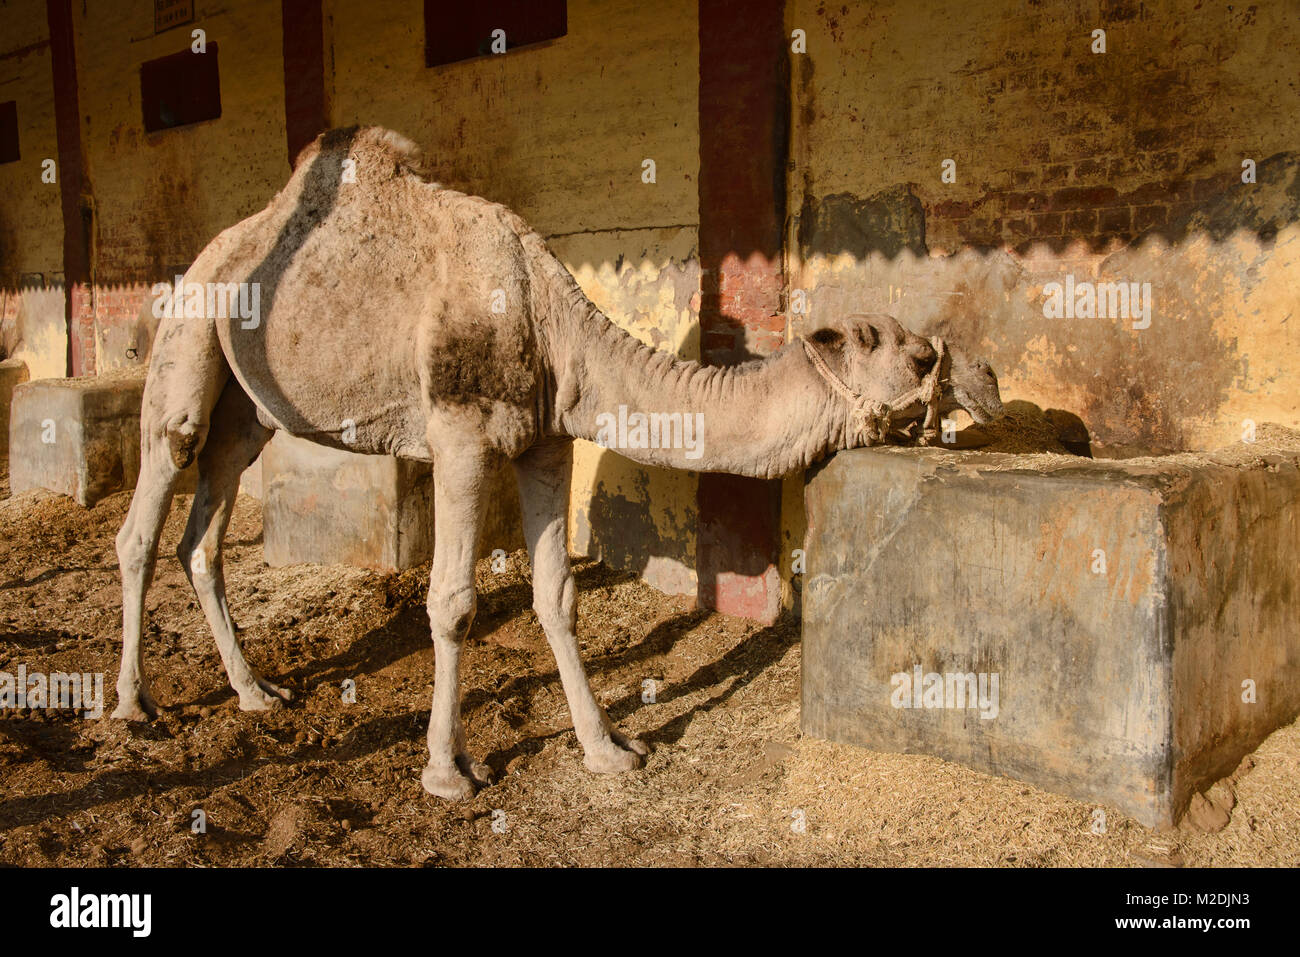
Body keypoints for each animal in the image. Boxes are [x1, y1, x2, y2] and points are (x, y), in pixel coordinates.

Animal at [114, 128, 1003, 800]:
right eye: (910, 351)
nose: (990, 382)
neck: (546, 321)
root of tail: (212, 253)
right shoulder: (460, 435)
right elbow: (453, 601)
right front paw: (447, 772)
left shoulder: (545, 440)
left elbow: (557, 595)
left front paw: (608, 749)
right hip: (189, 334)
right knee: (152, 494)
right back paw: (131, 704)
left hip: (250, 410)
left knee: (204, 529)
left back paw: (256, 691)